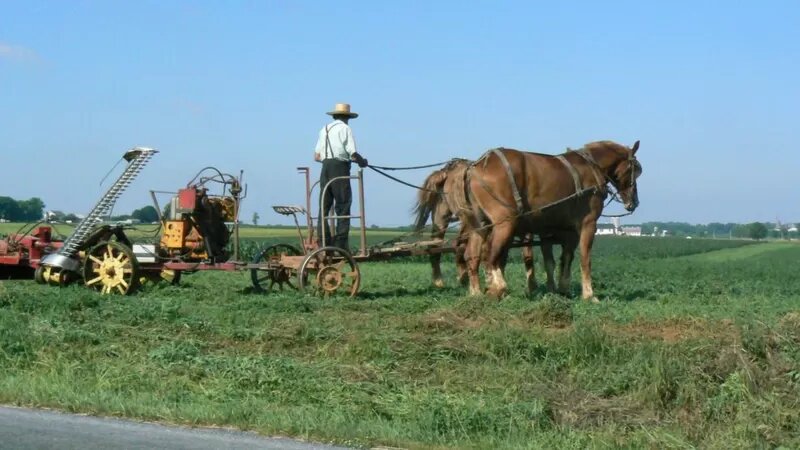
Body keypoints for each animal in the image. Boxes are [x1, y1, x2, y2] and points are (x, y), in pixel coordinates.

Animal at [462, 140, 644, 302]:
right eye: (635, 169)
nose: (633, 202)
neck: (592, 167)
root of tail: (477, 167)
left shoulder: (564, 230)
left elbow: (563, 259)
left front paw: (562, 289)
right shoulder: (588, 224)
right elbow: (585, 258)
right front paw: (589, 295)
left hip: (480, 225)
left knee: (473, 255)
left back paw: (477, 293)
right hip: (505, 223)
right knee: (490, 254)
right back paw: (499, 287)